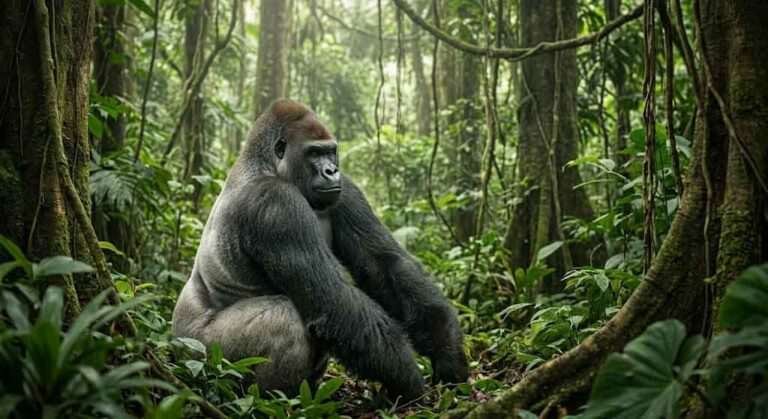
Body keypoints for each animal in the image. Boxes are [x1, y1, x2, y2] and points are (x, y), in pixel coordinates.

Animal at [172, 99, 468, 400]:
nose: (331, 171)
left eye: (330, 151)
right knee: (284, 318)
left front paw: (448, 352)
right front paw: (408, 379)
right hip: (201, 352)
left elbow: (383, 265)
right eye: (313, 153)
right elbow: (334, 299)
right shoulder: (277, 203)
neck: (266, 165)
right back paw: (274, 398)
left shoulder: (346, 189)